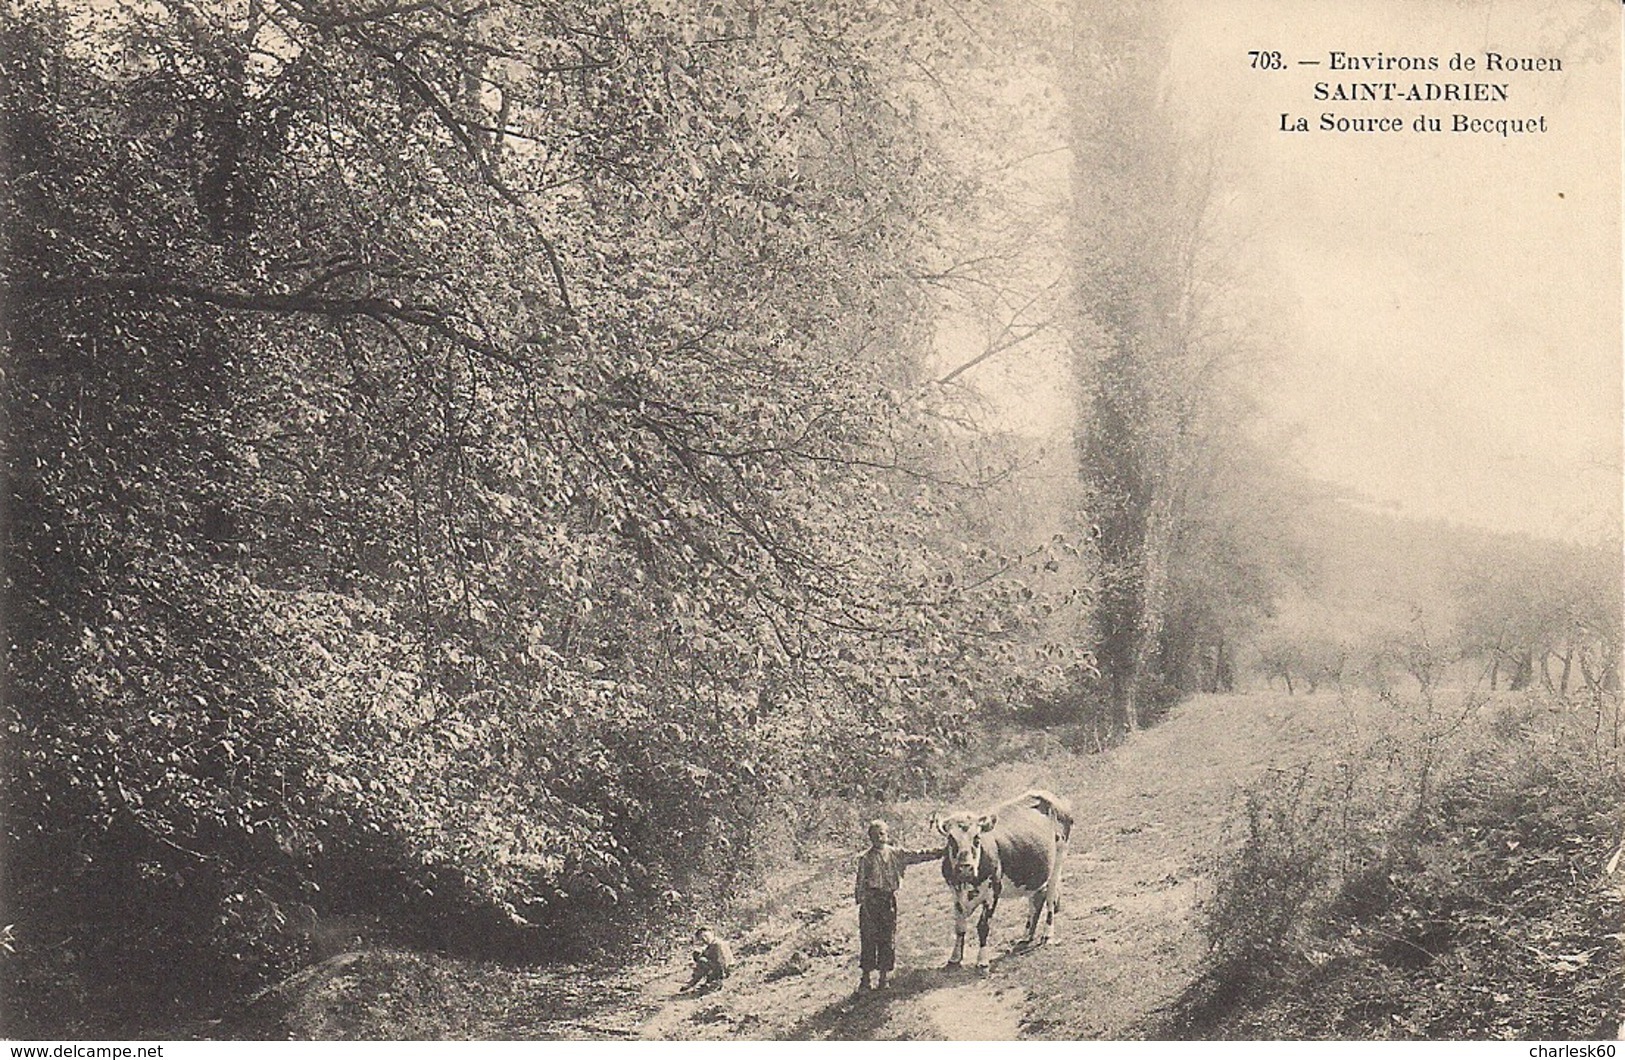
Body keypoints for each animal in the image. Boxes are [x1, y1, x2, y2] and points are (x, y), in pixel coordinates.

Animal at [936, 786, 1072, 968]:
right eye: (951, 839)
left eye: (977, 838)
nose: (965, 867)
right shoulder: (955, 893)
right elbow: (959, 925)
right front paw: (954, 958)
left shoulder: (993, 890)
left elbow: (983, 926)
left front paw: (983, 960)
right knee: (1036, 899)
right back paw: (1026, 936)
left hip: (1059, 858)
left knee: (1050, 897)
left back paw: (1047, 935)